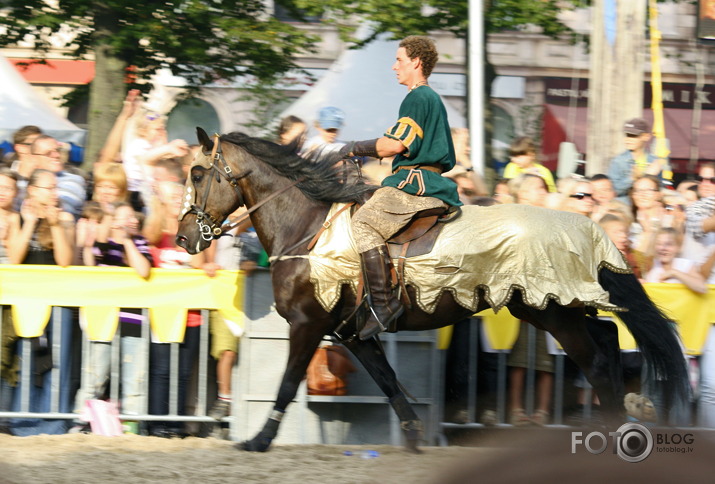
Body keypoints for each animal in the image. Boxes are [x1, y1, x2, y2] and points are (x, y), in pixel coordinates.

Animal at [176, 126, 692, 452]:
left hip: (552, 311)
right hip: (555, 307)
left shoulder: (308, 324)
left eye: (197, 174)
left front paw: (259, 440)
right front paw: (414, 435)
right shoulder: (351, 333)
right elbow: (388, 381)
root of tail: (588, 228)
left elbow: (286, 385)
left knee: (599, 360)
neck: (306, 229)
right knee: (608, 337)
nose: (184, 238)